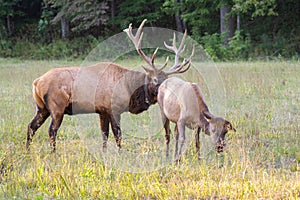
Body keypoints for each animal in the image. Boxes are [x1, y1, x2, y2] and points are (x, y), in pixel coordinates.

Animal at [26, 19, 195, 152]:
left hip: (42, 108)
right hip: (57, 107)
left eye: (166, 79)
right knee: (51, 131)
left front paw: (105, 153)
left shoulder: (102, 111)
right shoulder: (113, 108)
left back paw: (27, 152)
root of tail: (36, 82)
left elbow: (104, 135)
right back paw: (53, 153)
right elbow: (118, 135)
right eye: (154, 80)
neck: (129, 89)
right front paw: (120, 155)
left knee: (31, 127)